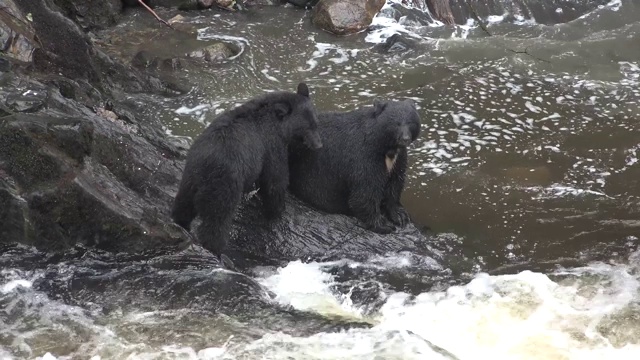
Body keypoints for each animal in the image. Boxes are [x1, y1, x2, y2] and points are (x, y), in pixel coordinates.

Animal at [171, 84, 322, 262]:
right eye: (306, 128)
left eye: (316, 123)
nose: (318, 144)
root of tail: (205, 165)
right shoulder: (271, 144)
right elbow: (275, 178)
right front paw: (276, 210)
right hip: (225, 184)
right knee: (217, 221)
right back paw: (216, 250)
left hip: (189, 177)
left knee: (183, 205)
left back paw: (181, 223)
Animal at [288, 98, 420, 235]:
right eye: (396, 123)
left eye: (411, 122)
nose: (405, 139)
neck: (387, 147)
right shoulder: (364, 155)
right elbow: (365, 191)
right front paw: (382, 224)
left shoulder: (399, 158)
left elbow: (395, 182)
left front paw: (400, 215)